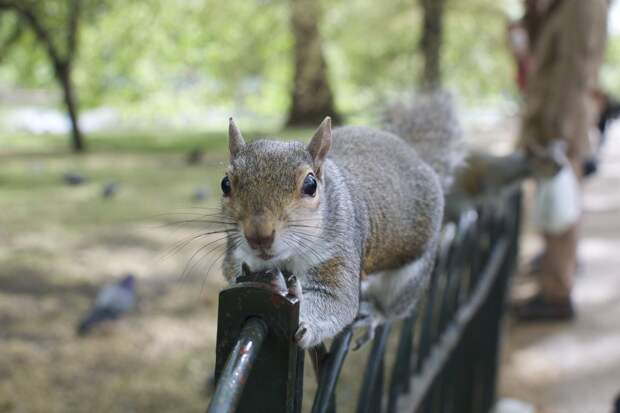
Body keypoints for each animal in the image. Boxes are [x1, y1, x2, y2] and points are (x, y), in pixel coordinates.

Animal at [219, 92, 460, 348]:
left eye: (310, 185)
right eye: (225, 184)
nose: (259, 235)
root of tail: (416, 157)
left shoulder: (339, 251)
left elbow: (337, 300)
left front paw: (293, 299)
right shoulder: (236, 251)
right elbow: (234, 271)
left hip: (410, 275)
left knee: (394, 305)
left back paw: (376, 313)